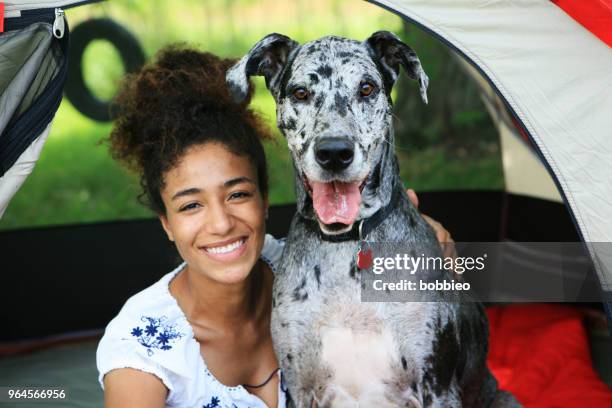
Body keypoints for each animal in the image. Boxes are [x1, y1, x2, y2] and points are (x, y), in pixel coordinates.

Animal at [227, 30, 520, 406]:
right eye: (300, 92)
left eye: (366, 88)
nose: (334, 152)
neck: (346, 244)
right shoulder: (299, 388)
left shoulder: (437, 387)